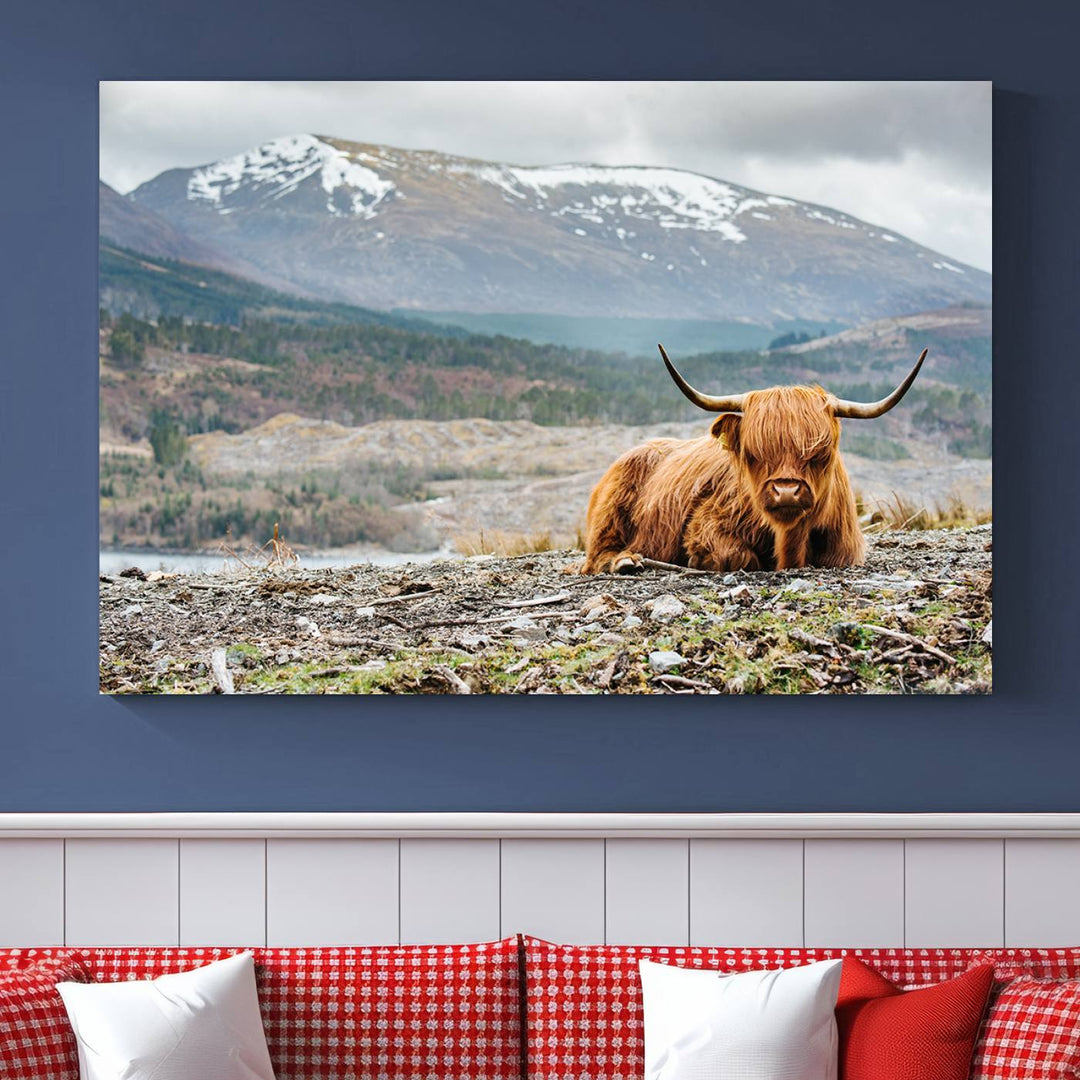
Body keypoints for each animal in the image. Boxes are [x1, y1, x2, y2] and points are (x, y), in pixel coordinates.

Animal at [583, 345, 928, 574]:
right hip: (610, 511)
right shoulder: (706, 523)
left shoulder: (846, 551)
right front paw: (698, 560)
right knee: (596, 554)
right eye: (753, 453)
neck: (790, 542)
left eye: (820, 452)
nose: (786, 492)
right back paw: (626, 561)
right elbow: (736, 555)